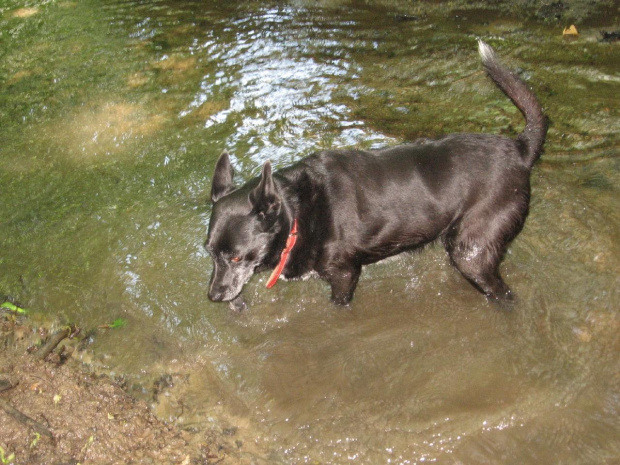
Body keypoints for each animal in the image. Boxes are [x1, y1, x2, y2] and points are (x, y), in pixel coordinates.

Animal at [205, 40, 548, 308]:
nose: (213, 296)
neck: (297, 212)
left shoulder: (344, 274)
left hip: (472, 252)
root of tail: (519, 149)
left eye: (236, 258)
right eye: (209, 252)